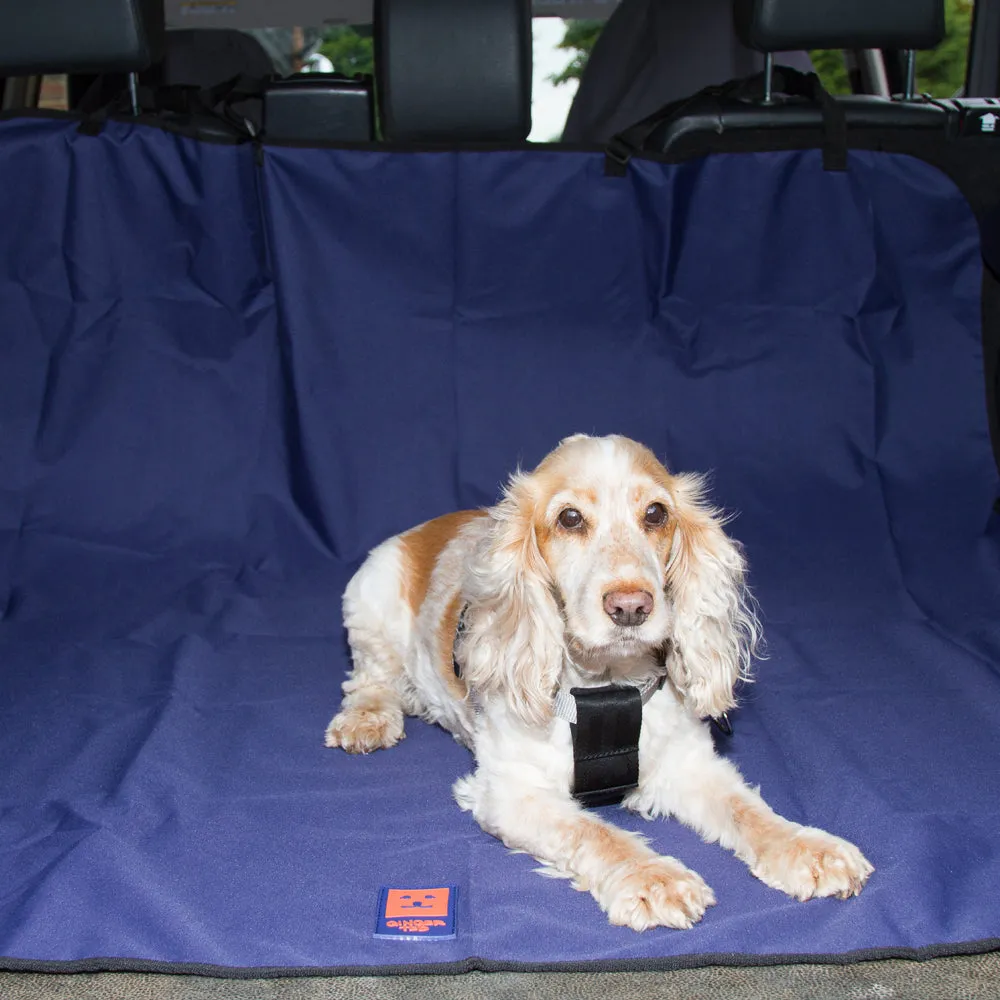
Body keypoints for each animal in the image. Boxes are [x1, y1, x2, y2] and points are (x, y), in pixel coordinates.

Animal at [324, 434, 872, 932]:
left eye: (656, 513)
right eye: (570, 518)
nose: (631, 606)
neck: (608, 687)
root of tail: (426, 527)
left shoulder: (687, 763)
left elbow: (748, 810)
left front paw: (808, 847)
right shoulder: (513, 791)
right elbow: (593, 833)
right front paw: (654, 879)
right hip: (367, 608)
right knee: (368, 680)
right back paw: (368, 720)